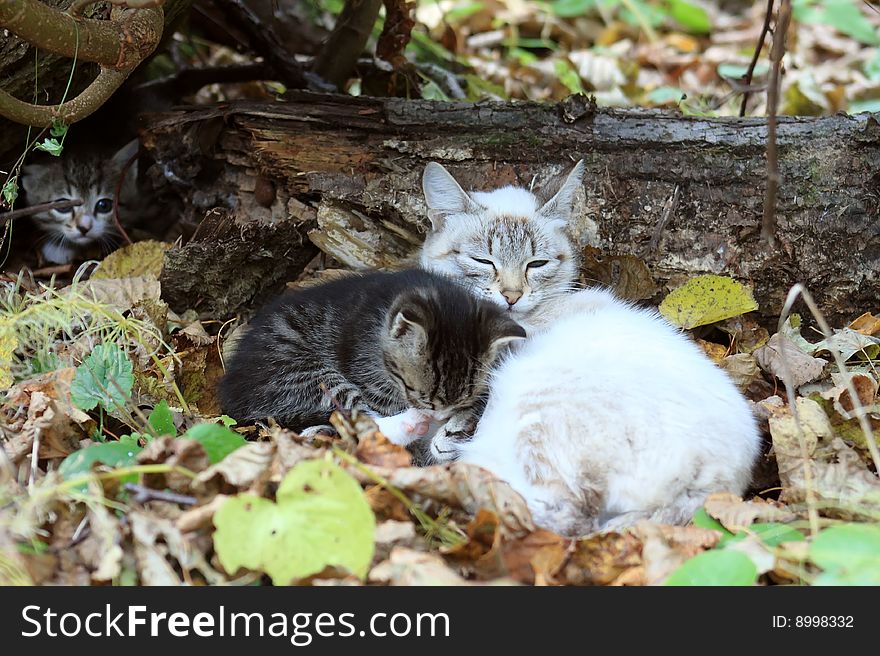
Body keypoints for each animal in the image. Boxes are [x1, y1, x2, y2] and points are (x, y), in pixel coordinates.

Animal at [217, 270, 524, 444]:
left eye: (462, 400)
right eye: (420, 396)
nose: (437, 416)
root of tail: (231, 393)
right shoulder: (365, 369)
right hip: (302, 373)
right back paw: (408, 423)